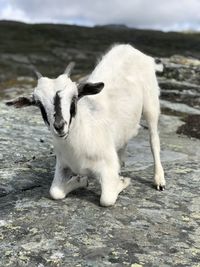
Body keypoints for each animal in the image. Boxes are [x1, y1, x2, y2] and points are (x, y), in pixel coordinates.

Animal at [7, 44, 165, 207]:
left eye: (74, 97)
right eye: (38, 103)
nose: (59, 126)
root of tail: (130, 48)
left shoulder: (106, 168)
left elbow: (106, 199)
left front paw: (123, 182)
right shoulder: (62, 164)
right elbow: (55, 192)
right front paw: (81, 180)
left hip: (151, 104)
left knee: (154, 139)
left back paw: (159, 180)